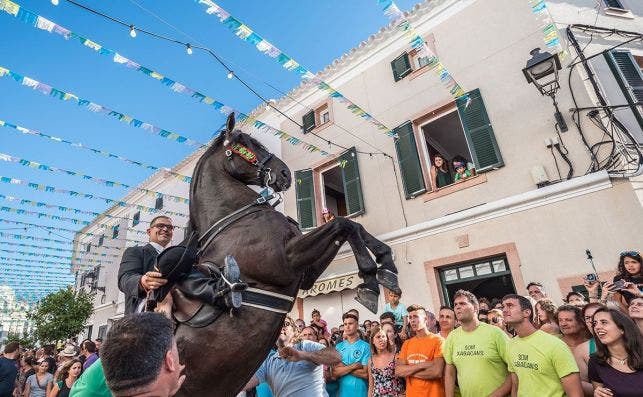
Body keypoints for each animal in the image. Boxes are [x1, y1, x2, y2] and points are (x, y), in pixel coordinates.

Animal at [174, 113, 400, 394]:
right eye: (247, 143)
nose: (284, 173)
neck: (233, 219)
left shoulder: (305, 274)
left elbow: (350, 226)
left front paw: (386, 266)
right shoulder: (285, 261)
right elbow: (343, 224)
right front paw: (370, 280)